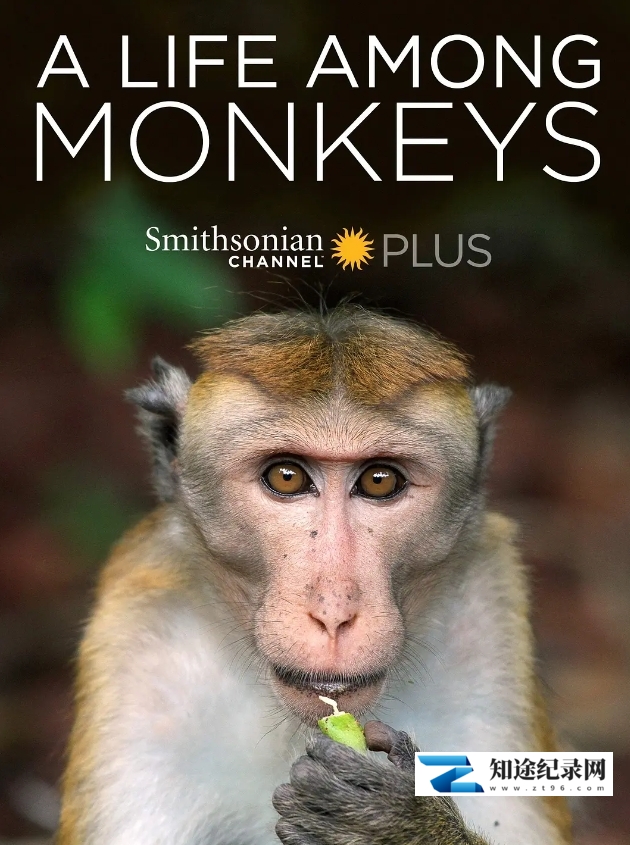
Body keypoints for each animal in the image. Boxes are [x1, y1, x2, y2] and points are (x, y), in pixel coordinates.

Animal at [57, 305, 572, 845]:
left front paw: (392, 823)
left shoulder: (487, 619)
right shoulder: (144, 652)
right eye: (286, 477)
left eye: (379, 480)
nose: (333, 612)